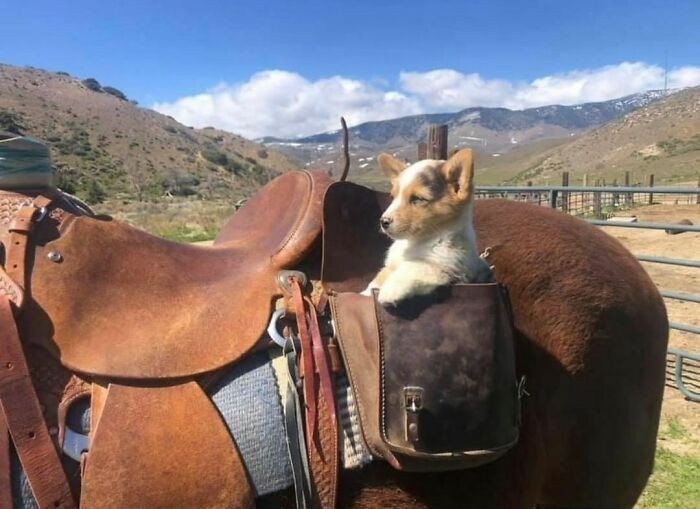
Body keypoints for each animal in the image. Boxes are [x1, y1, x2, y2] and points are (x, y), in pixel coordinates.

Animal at [364, 148, 490, 306]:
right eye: (393, 197)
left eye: (417, 199)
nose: (383, 221)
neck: (416, 241)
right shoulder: (391, 265)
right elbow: (378, 278)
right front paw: (365, 293)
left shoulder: (446, 268)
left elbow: (414, 266)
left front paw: (390, 289)